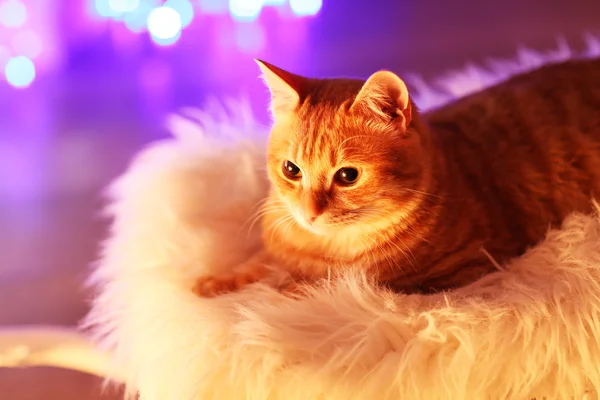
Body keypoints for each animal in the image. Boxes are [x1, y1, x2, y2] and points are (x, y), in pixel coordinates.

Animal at [193, 55, 600, 296]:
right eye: (291, 170)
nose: (309, 214)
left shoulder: (461, 272)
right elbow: (255, 263)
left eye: (348, 176)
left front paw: (279, 288)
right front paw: (219, 282)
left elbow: (307, 287)